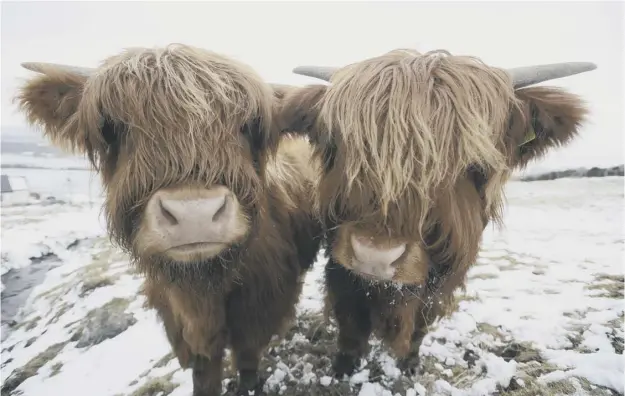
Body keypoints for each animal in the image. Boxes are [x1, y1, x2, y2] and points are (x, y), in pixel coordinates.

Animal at [15, 43, 322, 396]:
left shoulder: (262, 302)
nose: (194, 214)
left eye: (249, 126)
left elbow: (247, 355)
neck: (202, 291)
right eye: (112, 128)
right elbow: (204, 369)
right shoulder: (175, 313)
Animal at [280, 48, 596, 378]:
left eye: (474, 164)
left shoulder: (444, 278)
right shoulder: (341, 269)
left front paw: (409, 364)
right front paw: (344, 368)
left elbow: (421, 322)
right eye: (336, 146)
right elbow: (350, 322)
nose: (374, 255)